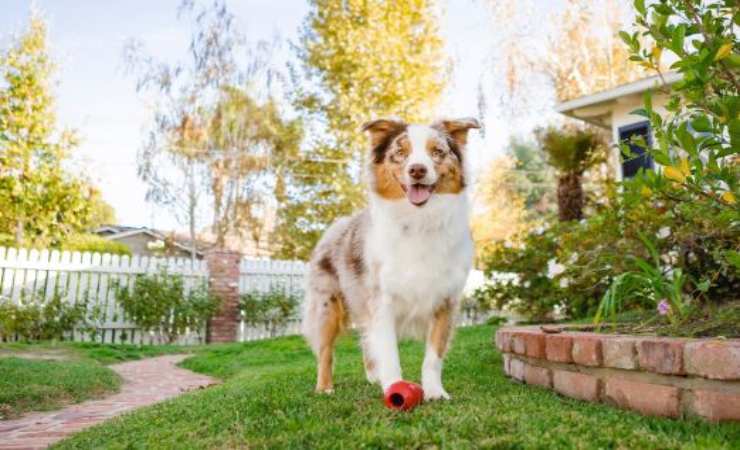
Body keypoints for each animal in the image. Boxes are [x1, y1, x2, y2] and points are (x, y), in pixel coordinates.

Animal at [300, 117, 480, 400]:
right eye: (400, 152)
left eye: (437, 152)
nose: (417, 170)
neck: (419, 221)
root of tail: (336, 226)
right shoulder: (381, 301)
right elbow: (389, 352)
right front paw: (394, 387)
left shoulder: (445, 301)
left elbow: (433, 356)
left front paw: (434, 392)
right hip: (327, 306)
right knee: (325, 351)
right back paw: (325, 387)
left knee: (365, 341)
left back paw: (373, 377)